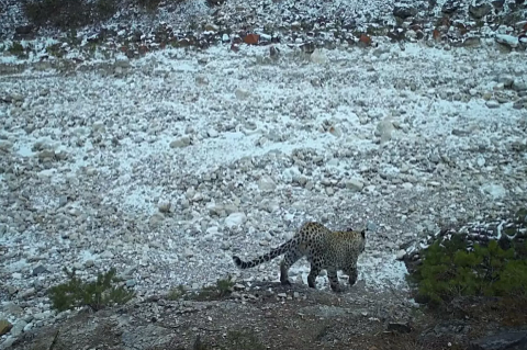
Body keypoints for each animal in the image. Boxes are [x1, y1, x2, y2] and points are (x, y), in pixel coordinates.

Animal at [232, 221, 368, 292]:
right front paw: (350, 282)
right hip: (317, 260)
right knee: (310, 276)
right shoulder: (348, 264)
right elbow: (354, 271)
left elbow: (332, 277)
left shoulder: (331, 267)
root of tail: (304, 230)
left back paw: (285, 280)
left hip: (296, 250)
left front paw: (336, 288)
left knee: (284, 262)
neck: (353, 238)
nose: (364, 249)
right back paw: (313, 287)